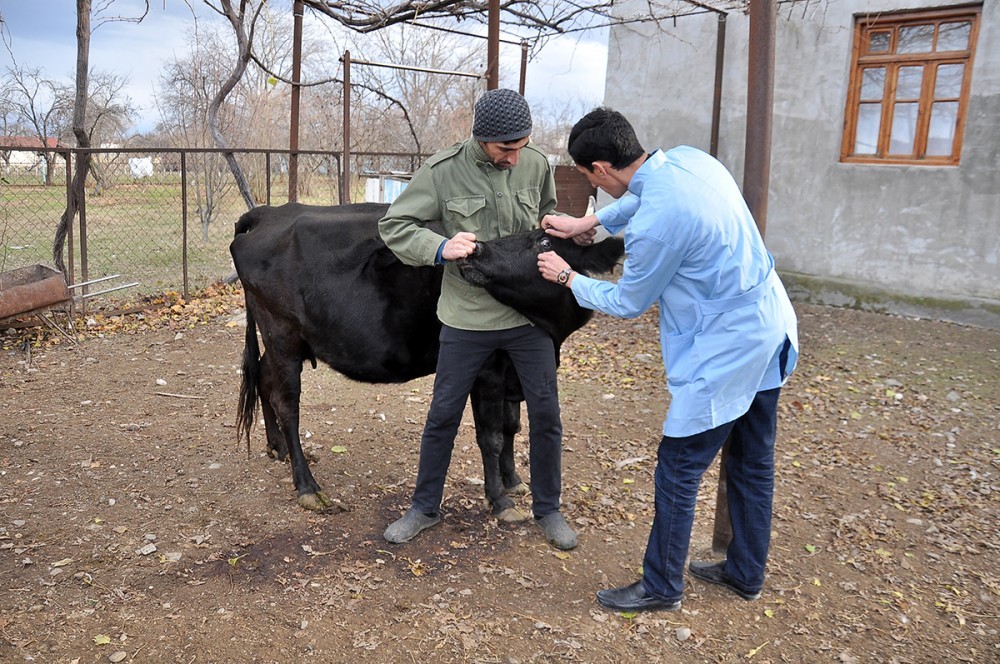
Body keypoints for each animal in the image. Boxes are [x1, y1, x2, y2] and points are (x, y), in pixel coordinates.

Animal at [232, 202, 624, 520]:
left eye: (543, 241)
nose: (477, 247)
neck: (548, 329)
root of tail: (270, 212)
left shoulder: (514, 364)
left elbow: (512, 425)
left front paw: (513, 479)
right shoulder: (488, 368)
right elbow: (492, 435)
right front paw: (499, 499)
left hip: (282, 341)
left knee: (263, 378)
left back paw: (277, 447)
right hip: (282, 334)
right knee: (287, 402)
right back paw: (308, 487)